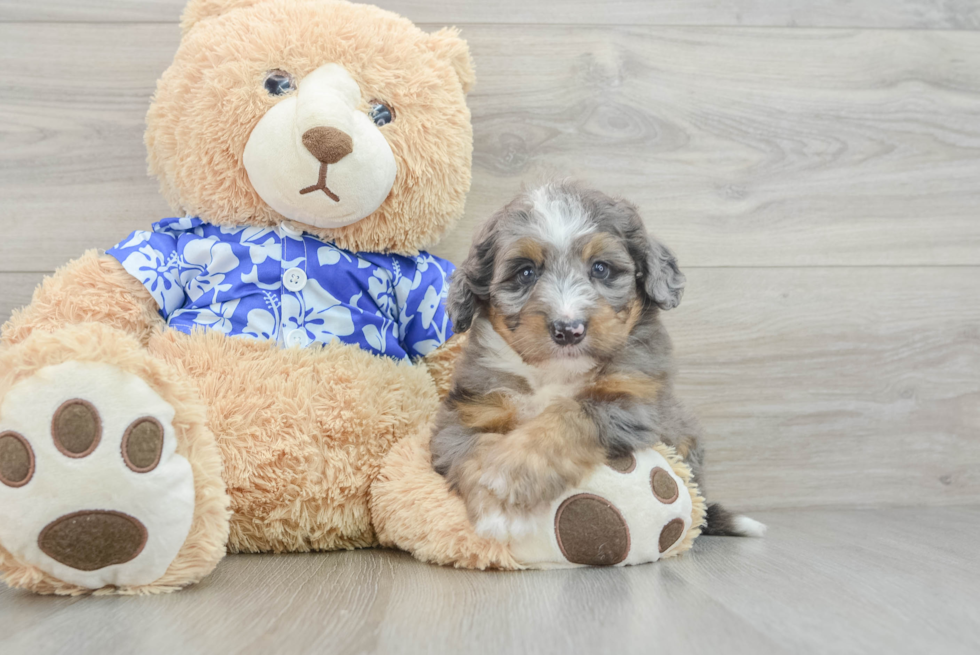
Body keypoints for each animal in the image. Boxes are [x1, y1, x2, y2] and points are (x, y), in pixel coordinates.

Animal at [430, 181, 764, 544]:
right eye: (525, 272)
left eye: (601, 268)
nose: (568, 329)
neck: (554, 373)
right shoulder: (470, 410)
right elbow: (474, 448)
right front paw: (496, 506)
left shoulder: (632, 402)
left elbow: (566, 417)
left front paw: (511, 477)